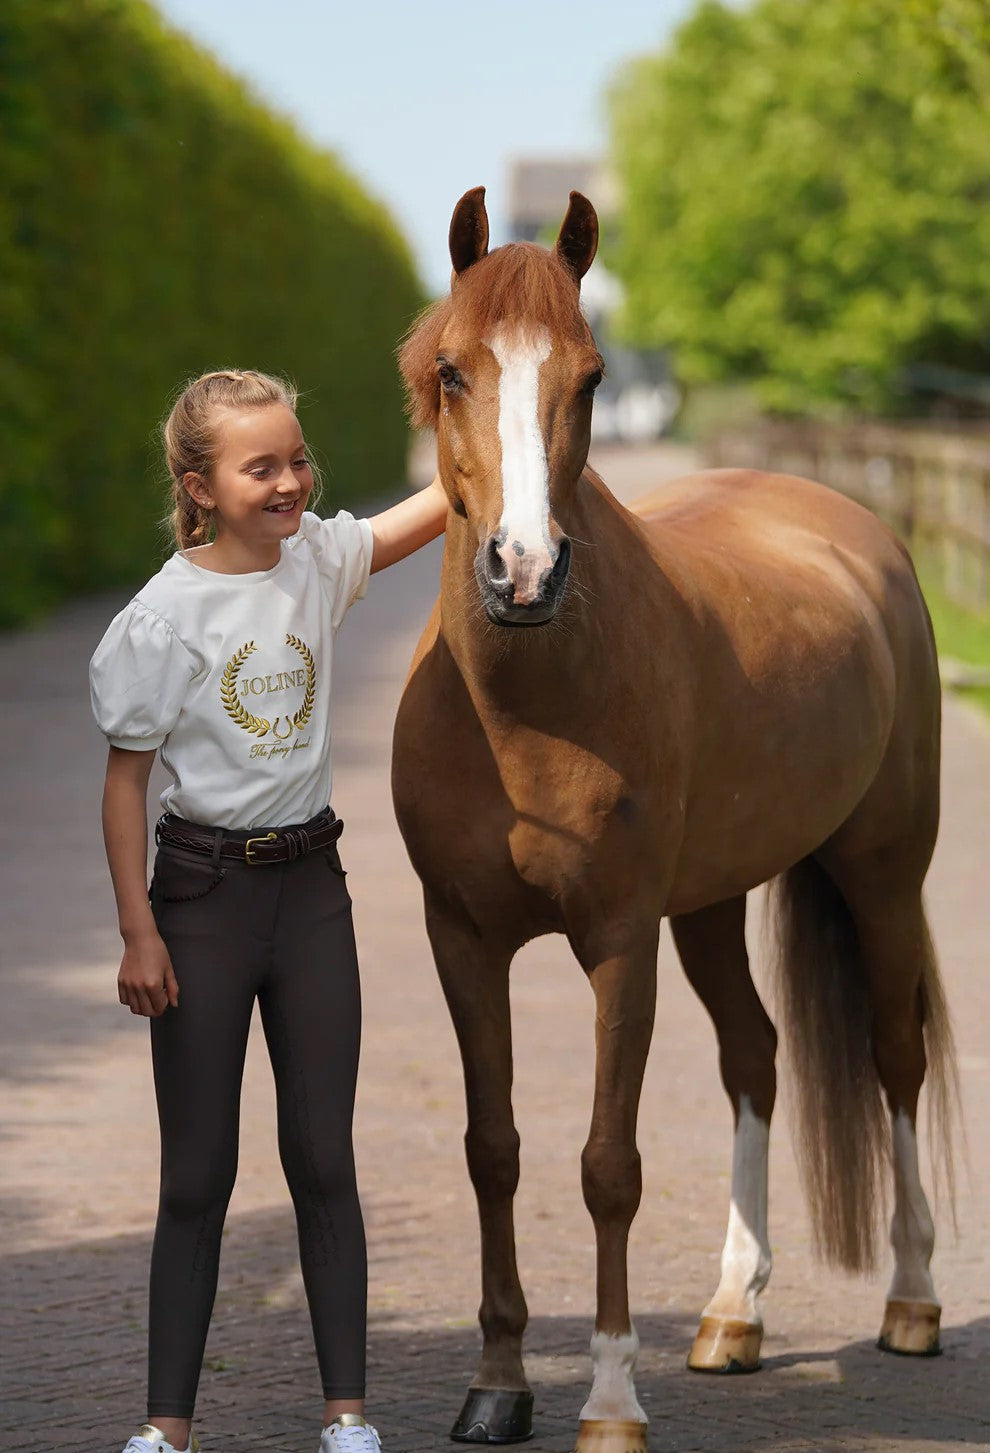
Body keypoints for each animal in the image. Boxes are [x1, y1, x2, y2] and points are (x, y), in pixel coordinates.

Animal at [389, 193, 953, 1453]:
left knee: (894, 1057)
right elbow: (492, 1150)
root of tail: (860, 533)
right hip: (712, 905)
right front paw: (497, 1385)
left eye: (592, 376)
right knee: (756, 1053)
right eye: (452, 370)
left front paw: (609, 1402)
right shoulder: (462, 939)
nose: (524, 572)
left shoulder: (617, 940)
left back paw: (911, 1301)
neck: (525, 709)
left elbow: (608, 1163)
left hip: (882, 873)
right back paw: (731, 1317)